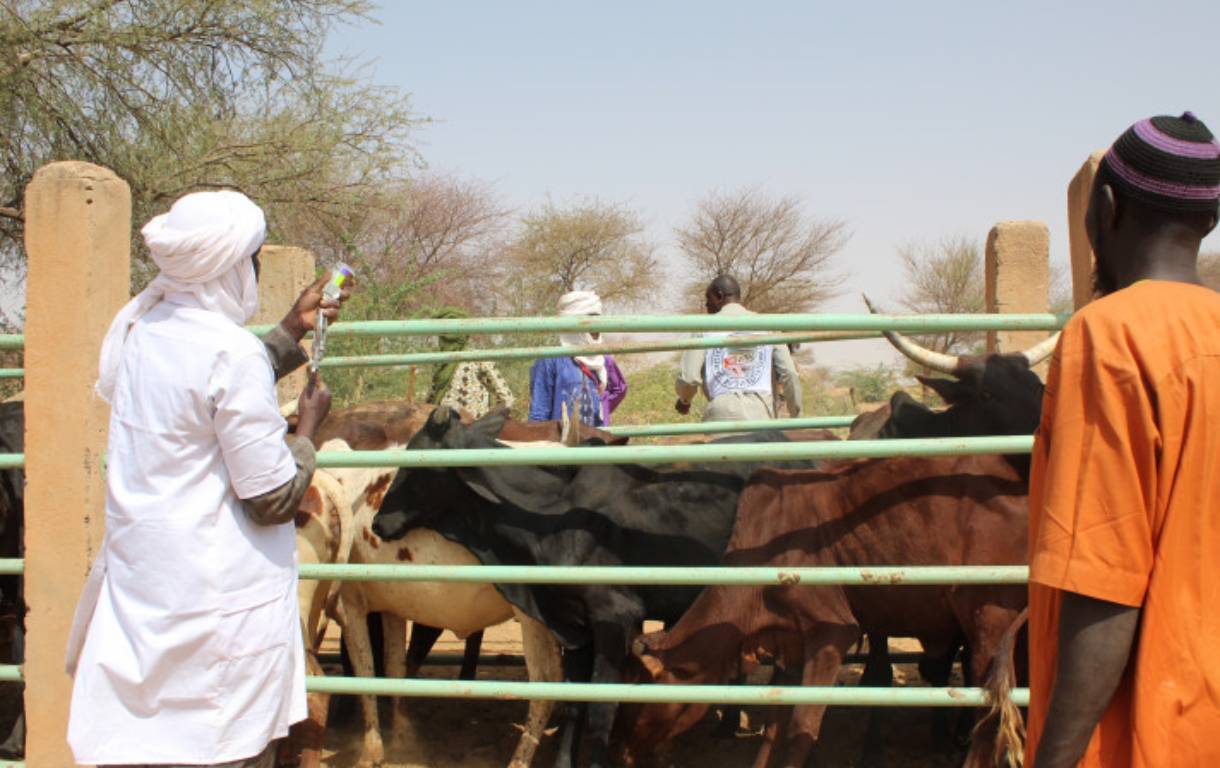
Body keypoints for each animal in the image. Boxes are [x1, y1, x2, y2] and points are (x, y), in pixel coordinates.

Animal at [370, 412, 810, 768]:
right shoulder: (574, 624)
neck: (548, 513)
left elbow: (602, 705)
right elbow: (574, 703)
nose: (377, 522)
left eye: (417, 465)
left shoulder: (615, 617)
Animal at [619, 458, 1029, 768]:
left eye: (639, 700)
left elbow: (802, 724)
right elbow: (774, 721)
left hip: (989, 621)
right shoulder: (790, 641)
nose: (623, 752)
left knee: (991, 715)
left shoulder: (832, 631)